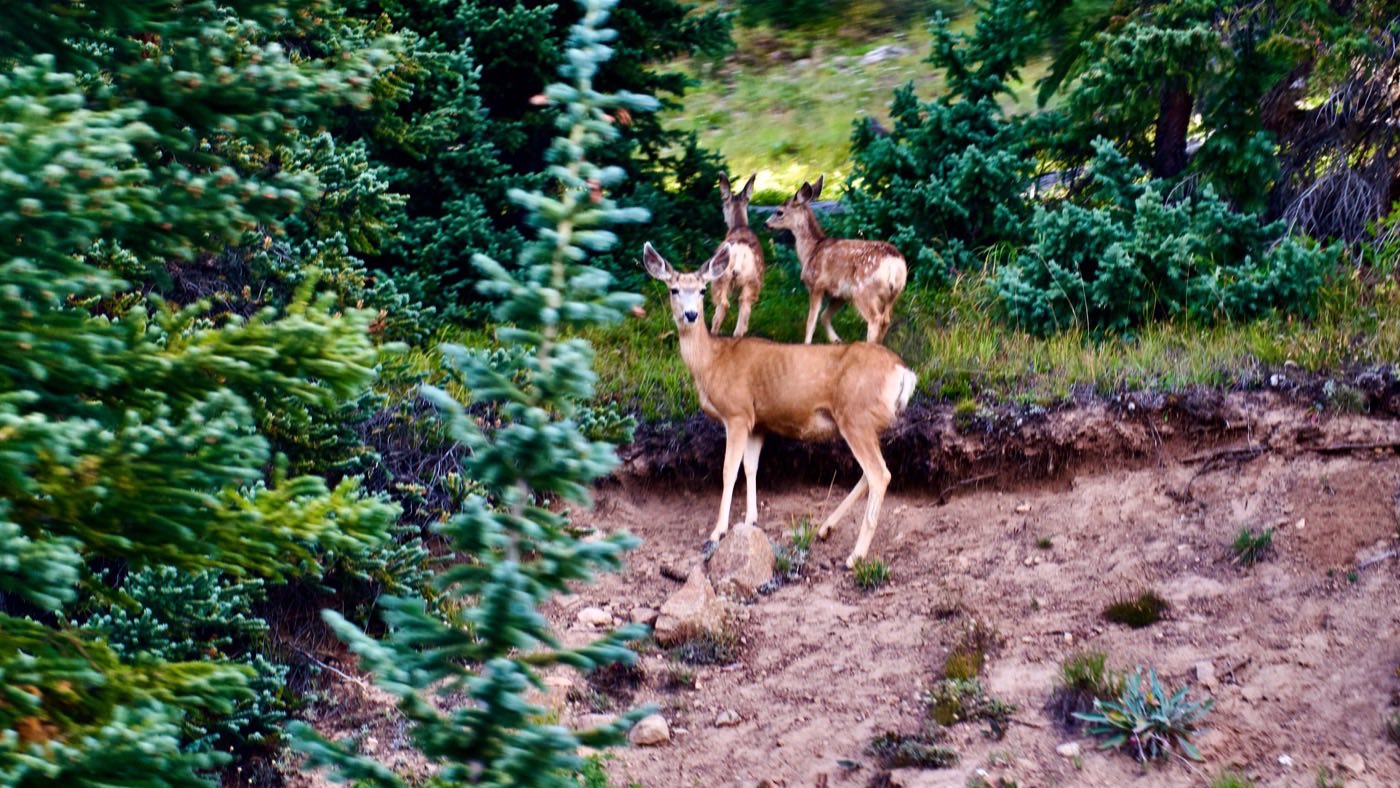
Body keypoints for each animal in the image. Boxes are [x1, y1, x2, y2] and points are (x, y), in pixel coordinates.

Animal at [642, 240, 918, 568]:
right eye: (673, 289)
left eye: (701, 290)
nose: (691, 314)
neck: (711, 363)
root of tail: (904, 372)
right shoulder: (757, 422)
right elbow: (750, 467)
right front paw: (750, 519)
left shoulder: (737, 413)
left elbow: (728, 469)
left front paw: (718, 531)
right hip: (869, 422)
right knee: (871, 473)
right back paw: (825, 528)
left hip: (856, 416)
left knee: (879, 474)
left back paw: (854, 556)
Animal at [765, 175, 907, 345]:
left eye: (779, 212)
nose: (765, 224)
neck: (810, 250)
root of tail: (895, 265)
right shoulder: (839, 294)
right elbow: (824, 316)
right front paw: (836, 340)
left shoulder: (816, 285)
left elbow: (811, 322)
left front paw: (807, 344)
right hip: (893, 294)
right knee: (886, 320)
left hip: (863, 291)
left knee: (875, 319)